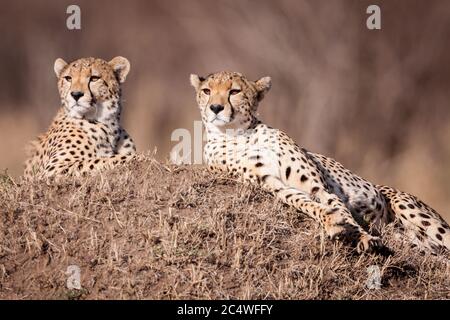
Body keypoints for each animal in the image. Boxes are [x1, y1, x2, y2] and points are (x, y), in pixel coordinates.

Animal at [189, 71, 450, 254]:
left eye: (234, 91)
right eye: (207, 91)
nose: (215, 108)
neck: (237, 134)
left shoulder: (317, 185)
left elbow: (339, 206)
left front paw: (362, 236)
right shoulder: (272, 184)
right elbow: (306, 203)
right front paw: (334, 223)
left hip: (411, 210)